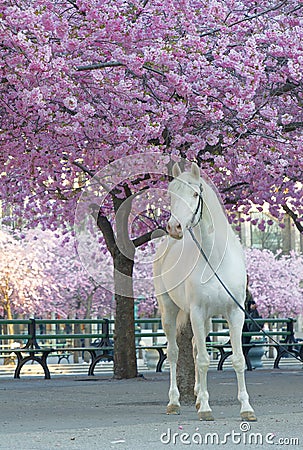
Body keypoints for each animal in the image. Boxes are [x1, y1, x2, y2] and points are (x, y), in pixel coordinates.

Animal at [154, 163, 256, 422]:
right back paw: (174, 402)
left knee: (193, 345)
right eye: (171, 194)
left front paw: (246, 408)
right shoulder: (197, 313)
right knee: (174, 352)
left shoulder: (235, 314)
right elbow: (202, 361)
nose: (174, 228)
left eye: (194, 194)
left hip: (207, 319)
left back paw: (199, 397)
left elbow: (238, 360)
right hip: (169, 310)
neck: (216, 259)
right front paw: (207, 409)